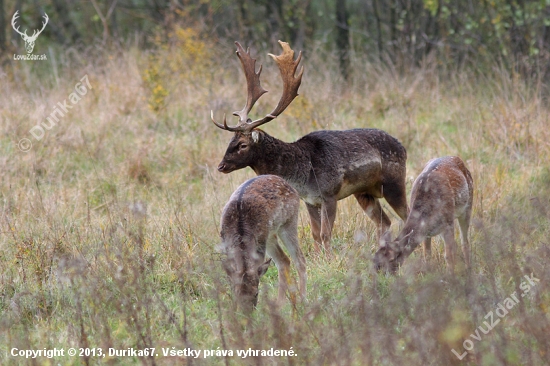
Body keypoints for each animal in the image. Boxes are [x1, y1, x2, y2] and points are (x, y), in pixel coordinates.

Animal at [212, 40, 410, 252]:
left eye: (242, 145)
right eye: (230, 141)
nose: (221, 166)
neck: (302, 174)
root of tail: (404, 148)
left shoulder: (329, 194)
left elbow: (325, 234)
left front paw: (329, 258)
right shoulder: (309, 200)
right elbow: (316, 235)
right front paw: (317, 258)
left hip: (394, 182)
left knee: (409, 216)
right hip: (364, 193)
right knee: (385, 222)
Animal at [219, 174, 306, 312]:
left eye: (256, 293)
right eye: (236, 294)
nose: (246, 313)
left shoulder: (259, 248)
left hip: (289, 222)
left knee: (299, 259)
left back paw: (302, 300)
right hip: (270, 235)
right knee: (284, 260)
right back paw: (280, 303)